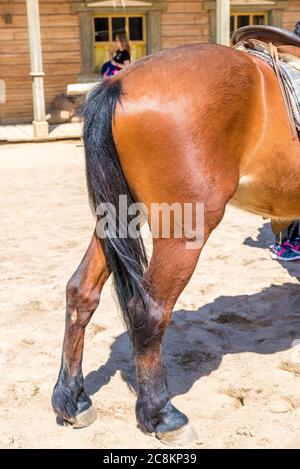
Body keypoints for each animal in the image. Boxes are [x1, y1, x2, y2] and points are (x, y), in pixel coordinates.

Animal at [51, 39, 300, 442]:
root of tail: (119, 83)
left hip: (115, 218)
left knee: (80, 291)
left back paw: (72, 399)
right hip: (184, 232)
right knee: (149, 311)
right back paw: (161, 414)